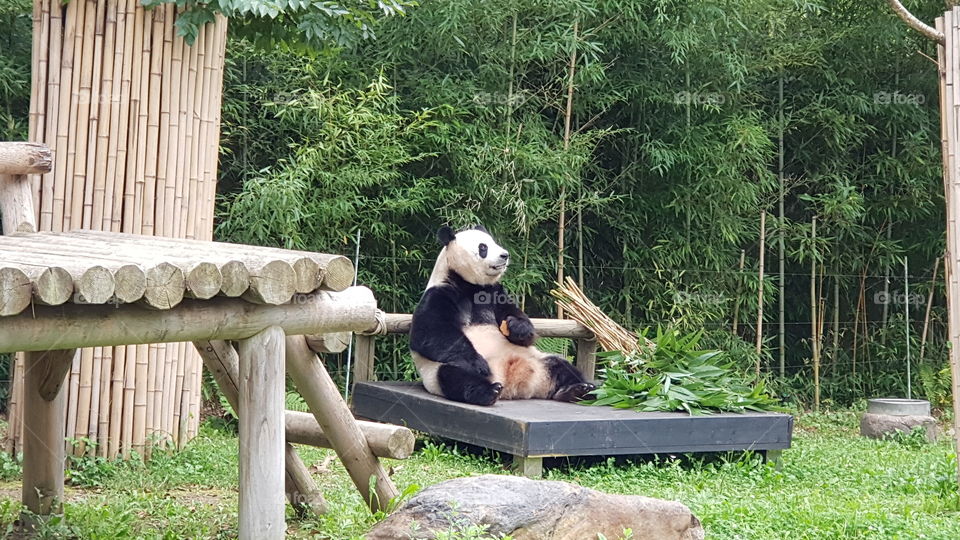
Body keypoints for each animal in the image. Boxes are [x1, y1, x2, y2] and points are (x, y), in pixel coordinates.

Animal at [409, 225, 596, 406]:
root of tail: (514, 386)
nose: (504, 255)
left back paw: (578, 390)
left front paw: (517, 328)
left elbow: (517, 317)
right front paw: (478, 364)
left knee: (562, 366)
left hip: (539, 359)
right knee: (454, 375)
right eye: (483, 247)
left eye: (494, 242)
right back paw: (488, 391)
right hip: (437, 371)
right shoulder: (439, 294)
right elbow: (429, 333)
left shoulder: (495, 292)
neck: (468, 285)